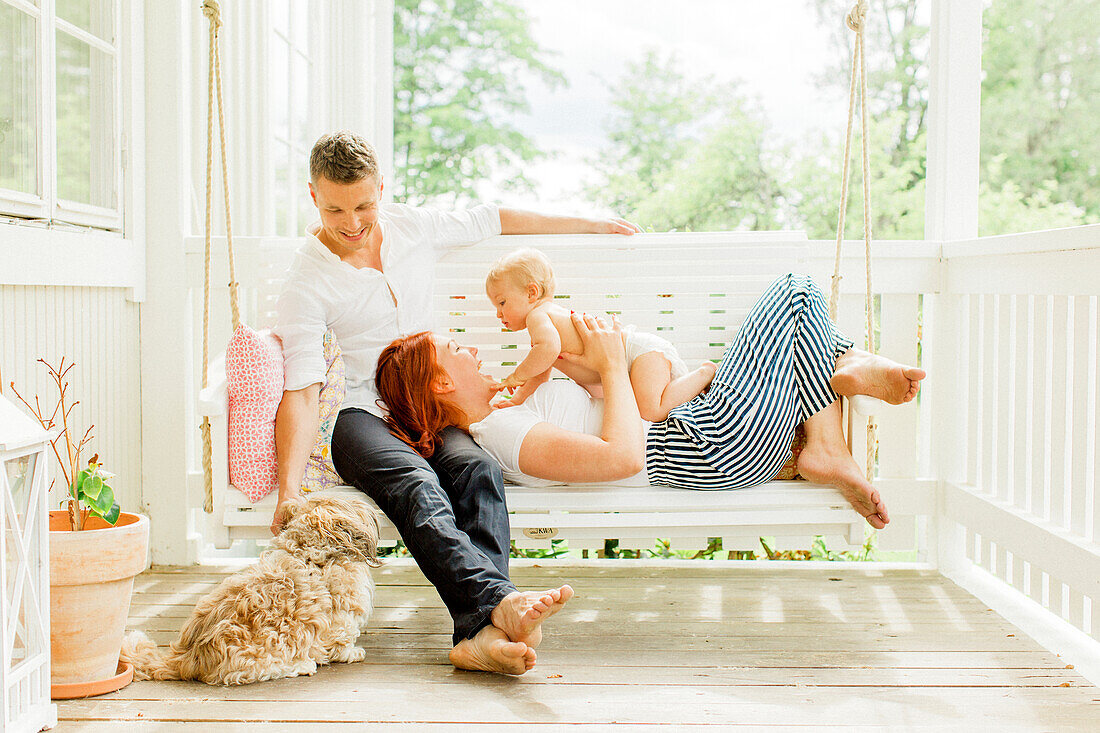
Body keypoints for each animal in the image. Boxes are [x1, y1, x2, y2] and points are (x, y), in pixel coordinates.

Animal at [122, 493, 382, 682]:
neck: (310, 555)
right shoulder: (343, 621)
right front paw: (352, 653)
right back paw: (302, 665)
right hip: (268, 650)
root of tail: (185, 658)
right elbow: (342, 643)